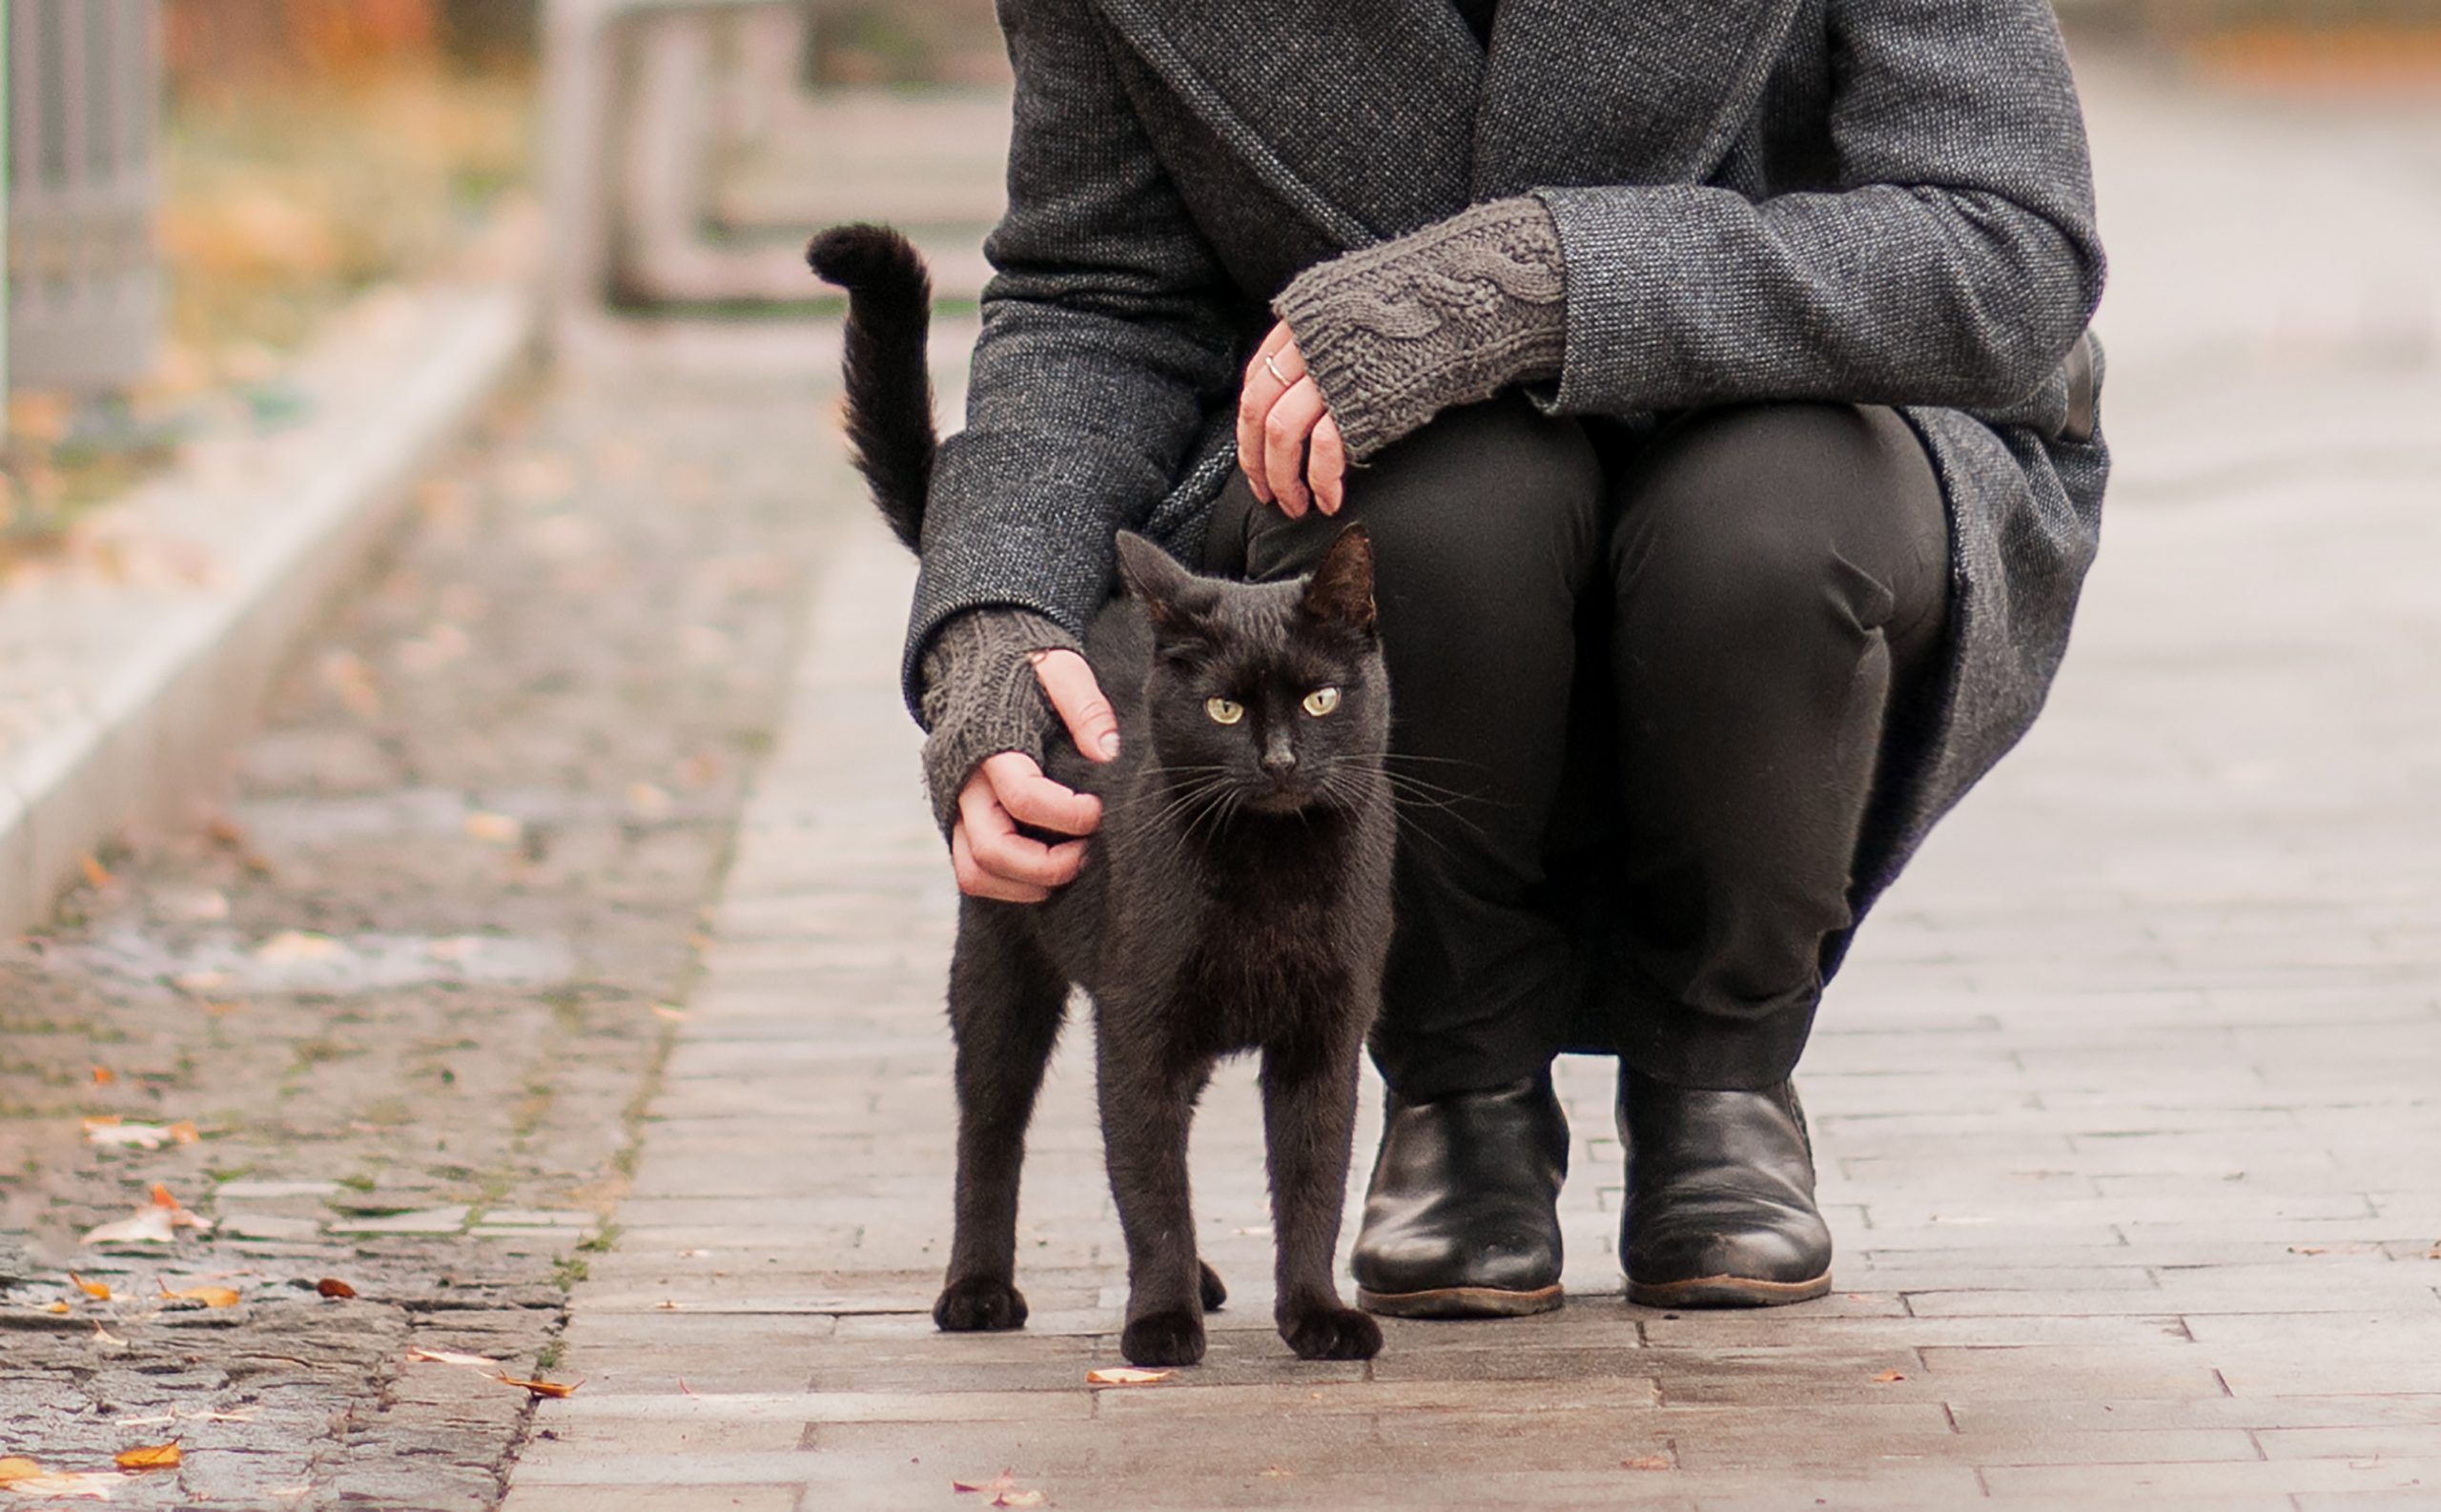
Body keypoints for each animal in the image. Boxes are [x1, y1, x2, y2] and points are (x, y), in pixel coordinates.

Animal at [810, 217, 1396, 1365]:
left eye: (1317, 697)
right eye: (1223, 709)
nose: (1278, 762)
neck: (1270, 872)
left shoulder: (1323, 1035)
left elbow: (1311, 1183)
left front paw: (1316, 1314)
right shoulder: (1139, 1025)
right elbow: (1149, 1185)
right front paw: (1160, 1322)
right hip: (999, 963)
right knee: (991, 1134)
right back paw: (978, 1288)